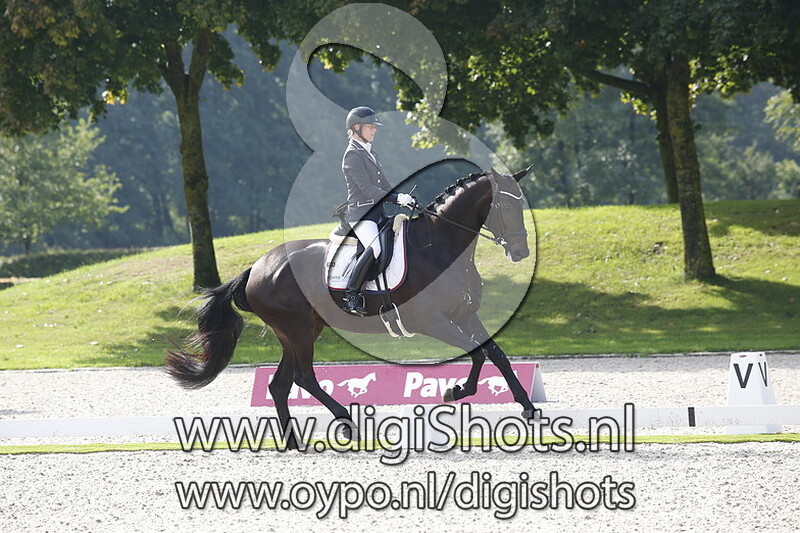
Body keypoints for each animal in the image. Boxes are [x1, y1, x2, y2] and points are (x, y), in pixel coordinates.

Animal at [166, 166, 536, 449]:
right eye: (505, 207)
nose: (520, 252)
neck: (440, 247)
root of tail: (256, 268)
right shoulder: (432, 321)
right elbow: (478, 352)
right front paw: (455, 390)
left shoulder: (465, 315)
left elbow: (495, 353)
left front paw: (527, 407)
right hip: (298, 330)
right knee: (303, 377)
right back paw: (347, 423)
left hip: (296, 332)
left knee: (280, 384)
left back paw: (294, 441)